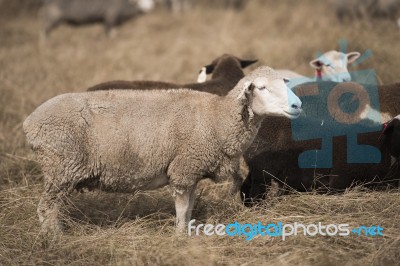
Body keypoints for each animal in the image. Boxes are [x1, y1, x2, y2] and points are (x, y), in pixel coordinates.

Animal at [23, 66, 302, 235]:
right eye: (261, 88)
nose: (298, 105)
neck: (217, 118)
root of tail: (30, 123)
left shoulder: (191, 171)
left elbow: (189, 208)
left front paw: (186, 232)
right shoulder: (183, 167)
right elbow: (181, 208)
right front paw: (179, 236)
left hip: (61, 171)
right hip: (61, 168)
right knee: (45, 209)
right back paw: (55, 238)